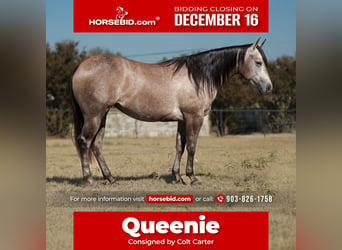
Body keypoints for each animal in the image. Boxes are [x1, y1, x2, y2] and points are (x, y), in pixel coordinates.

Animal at [69, 37, 272, 186]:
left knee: (97, 145)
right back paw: (90, 179)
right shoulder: (194, 117)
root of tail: (81, 67)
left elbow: (179, 146)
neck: (198, 77)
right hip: (94, 116)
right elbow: (192, 146)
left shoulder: (182, 119)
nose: (268, 87)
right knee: (85, 141)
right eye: (258, 62)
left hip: (102, 115)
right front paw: (192, 178)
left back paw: (111, 178)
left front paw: (177, 177)